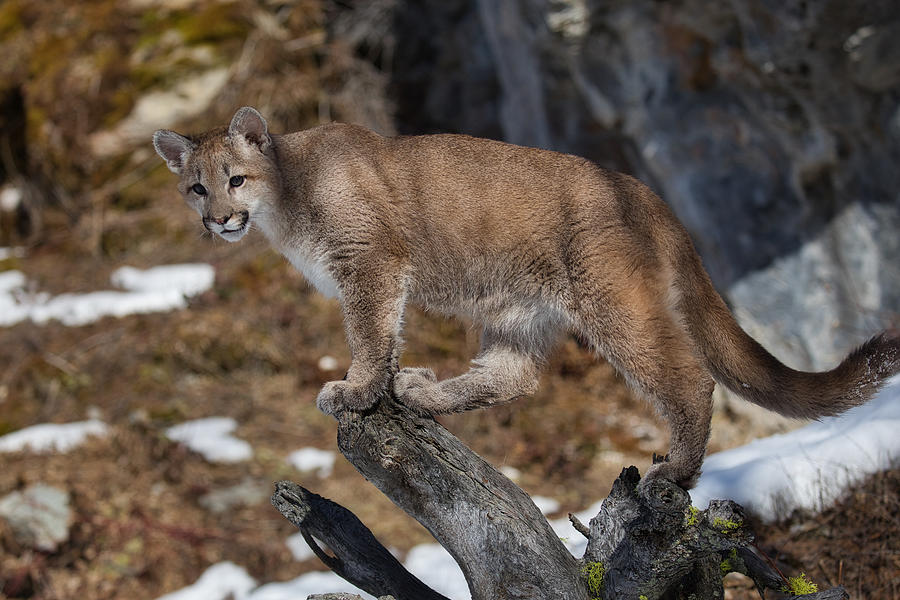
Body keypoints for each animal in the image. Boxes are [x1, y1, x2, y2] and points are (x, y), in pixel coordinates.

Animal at [151, 106, 896, 488]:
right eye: (196, 187)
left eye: (236, 179)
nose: (219, 220)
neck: (286, 199)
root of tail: (647, 194)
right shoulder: (379, 272)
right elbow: (386, 335)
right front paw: (388, 385)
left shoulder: (370, 262)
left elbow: (368, 331)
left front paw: (357, 390)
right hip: (518, 308)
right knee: (513, 376)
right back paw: (424, 393)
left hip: (612, 302)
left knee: (687, 375)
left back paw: (678, 470)